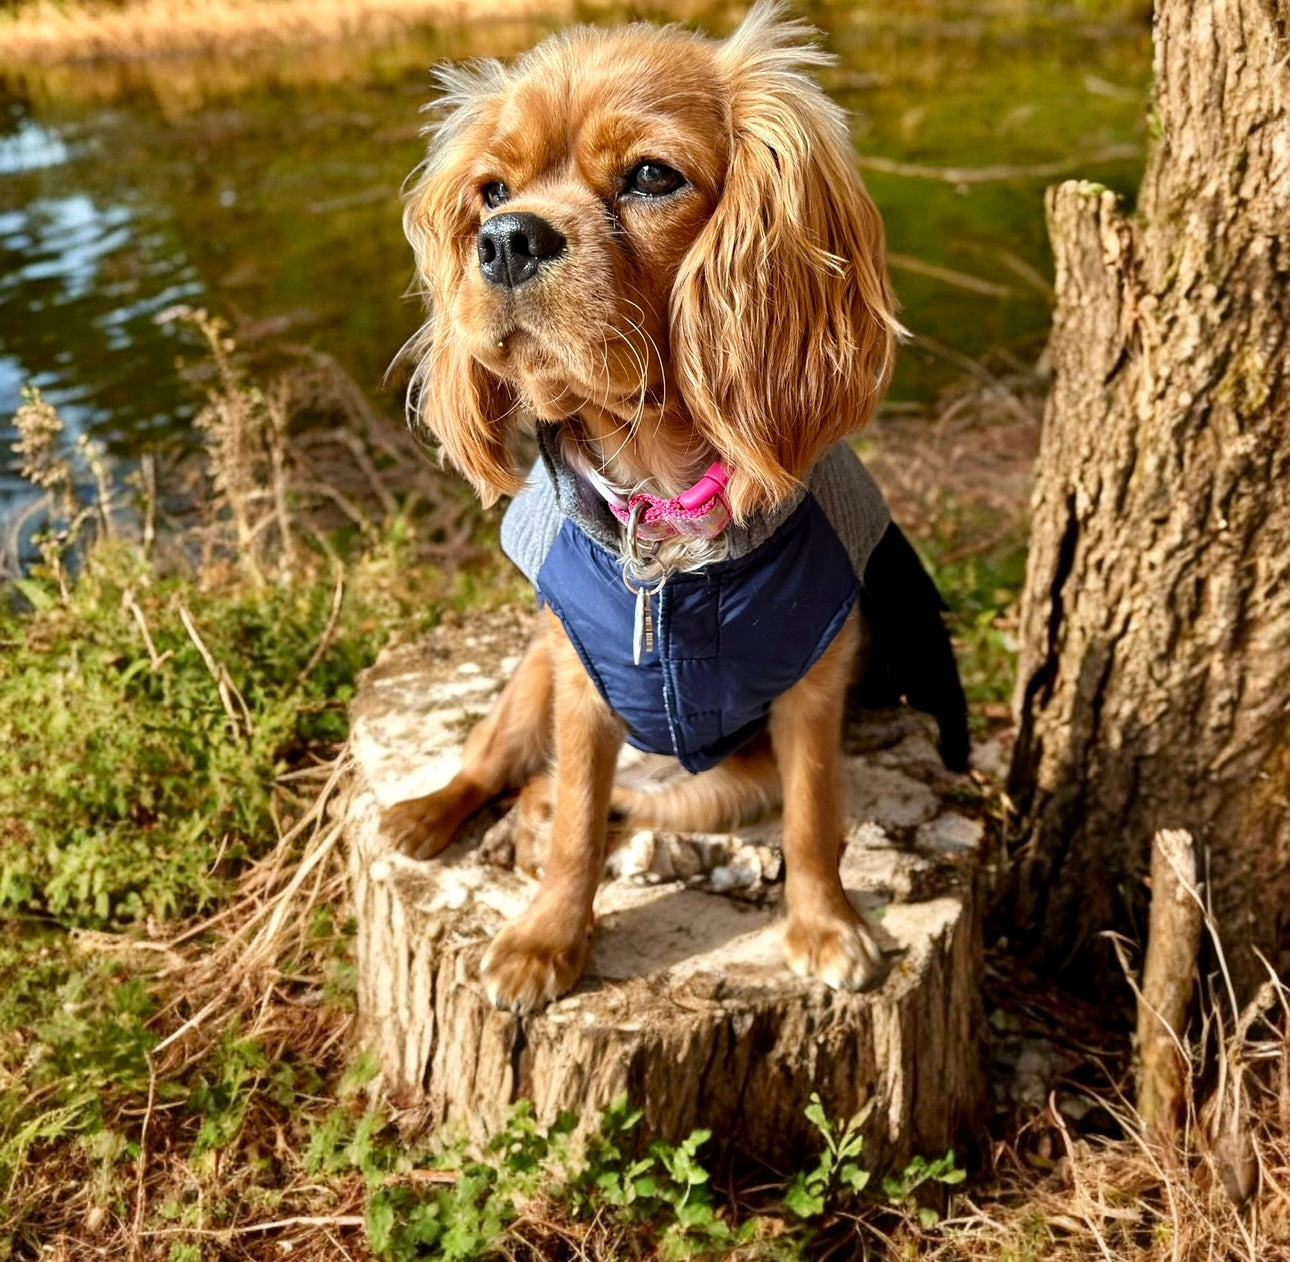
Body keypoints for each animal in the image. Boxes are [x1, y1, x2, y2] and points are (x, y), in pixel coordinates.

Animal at [381, 0, 970, 1011]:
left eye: (653, 176)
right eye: (492, 192)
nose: (506, 239)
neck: (660, 503)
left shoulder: (813, 691)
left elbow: (814, 818)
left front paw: (825, 927)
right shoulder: (581, 685)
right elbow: (577, 823)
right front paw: (547, 940)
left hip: (724, 785)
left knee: (598, 800)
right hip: (533, 672)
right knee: (498, 763)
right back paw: (428, 815)